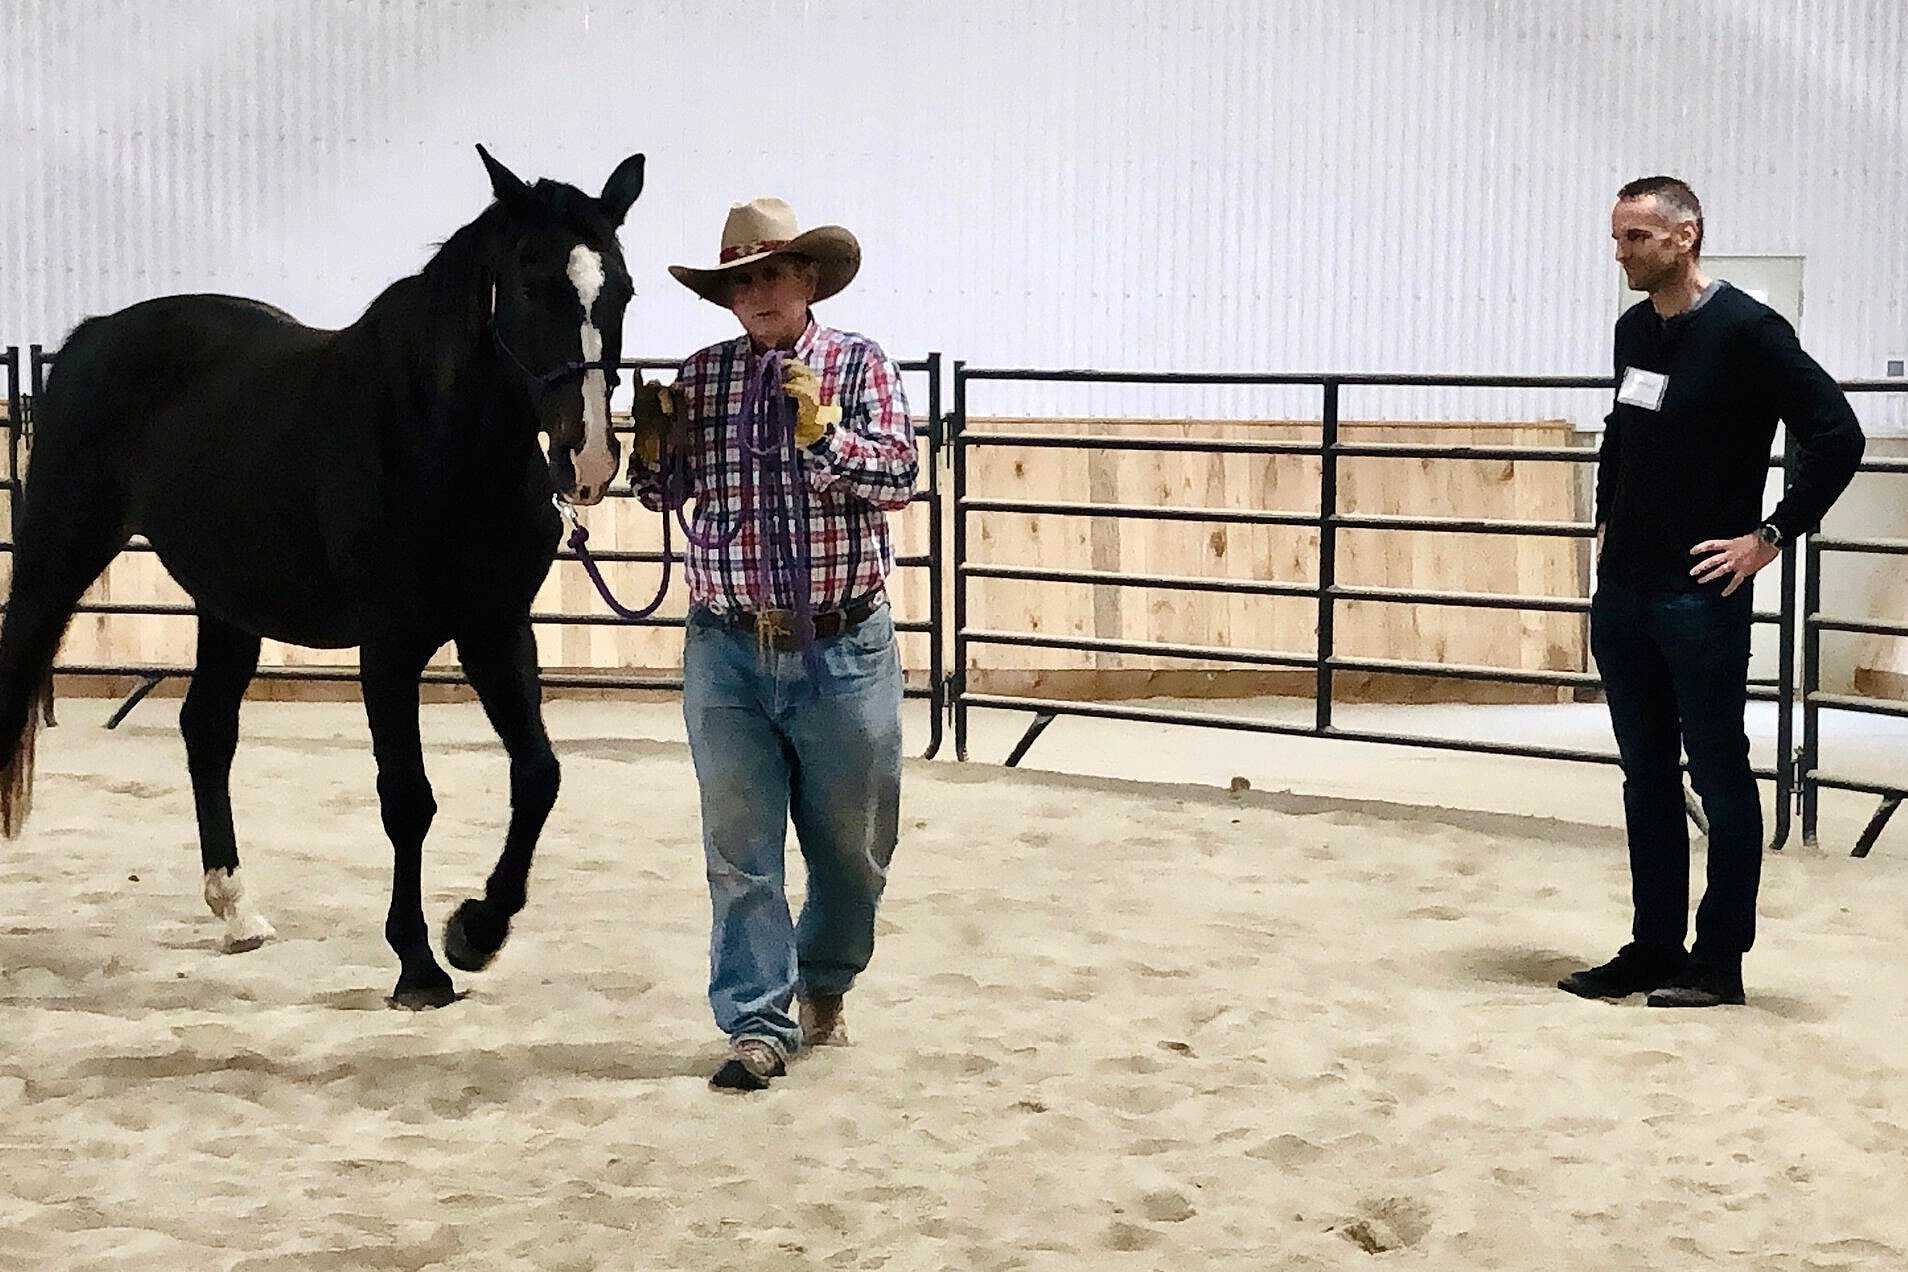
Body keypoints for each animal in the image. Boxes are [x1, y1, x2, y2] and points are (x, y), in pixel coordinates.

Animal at [0, 146, 648, 1006]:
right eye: (533, 283)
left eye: (622, 288)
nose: (590, 459)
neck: (434, 436)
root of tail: (91, 335)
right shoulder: (391, 644)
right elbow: (407, 798)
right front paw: (418, 966)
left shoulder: (495, 628)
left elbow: (538, 774)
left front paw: (475, 932)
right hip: (56, 561)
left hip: (228, 602)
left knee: (207, 729)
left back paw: (238, 913)